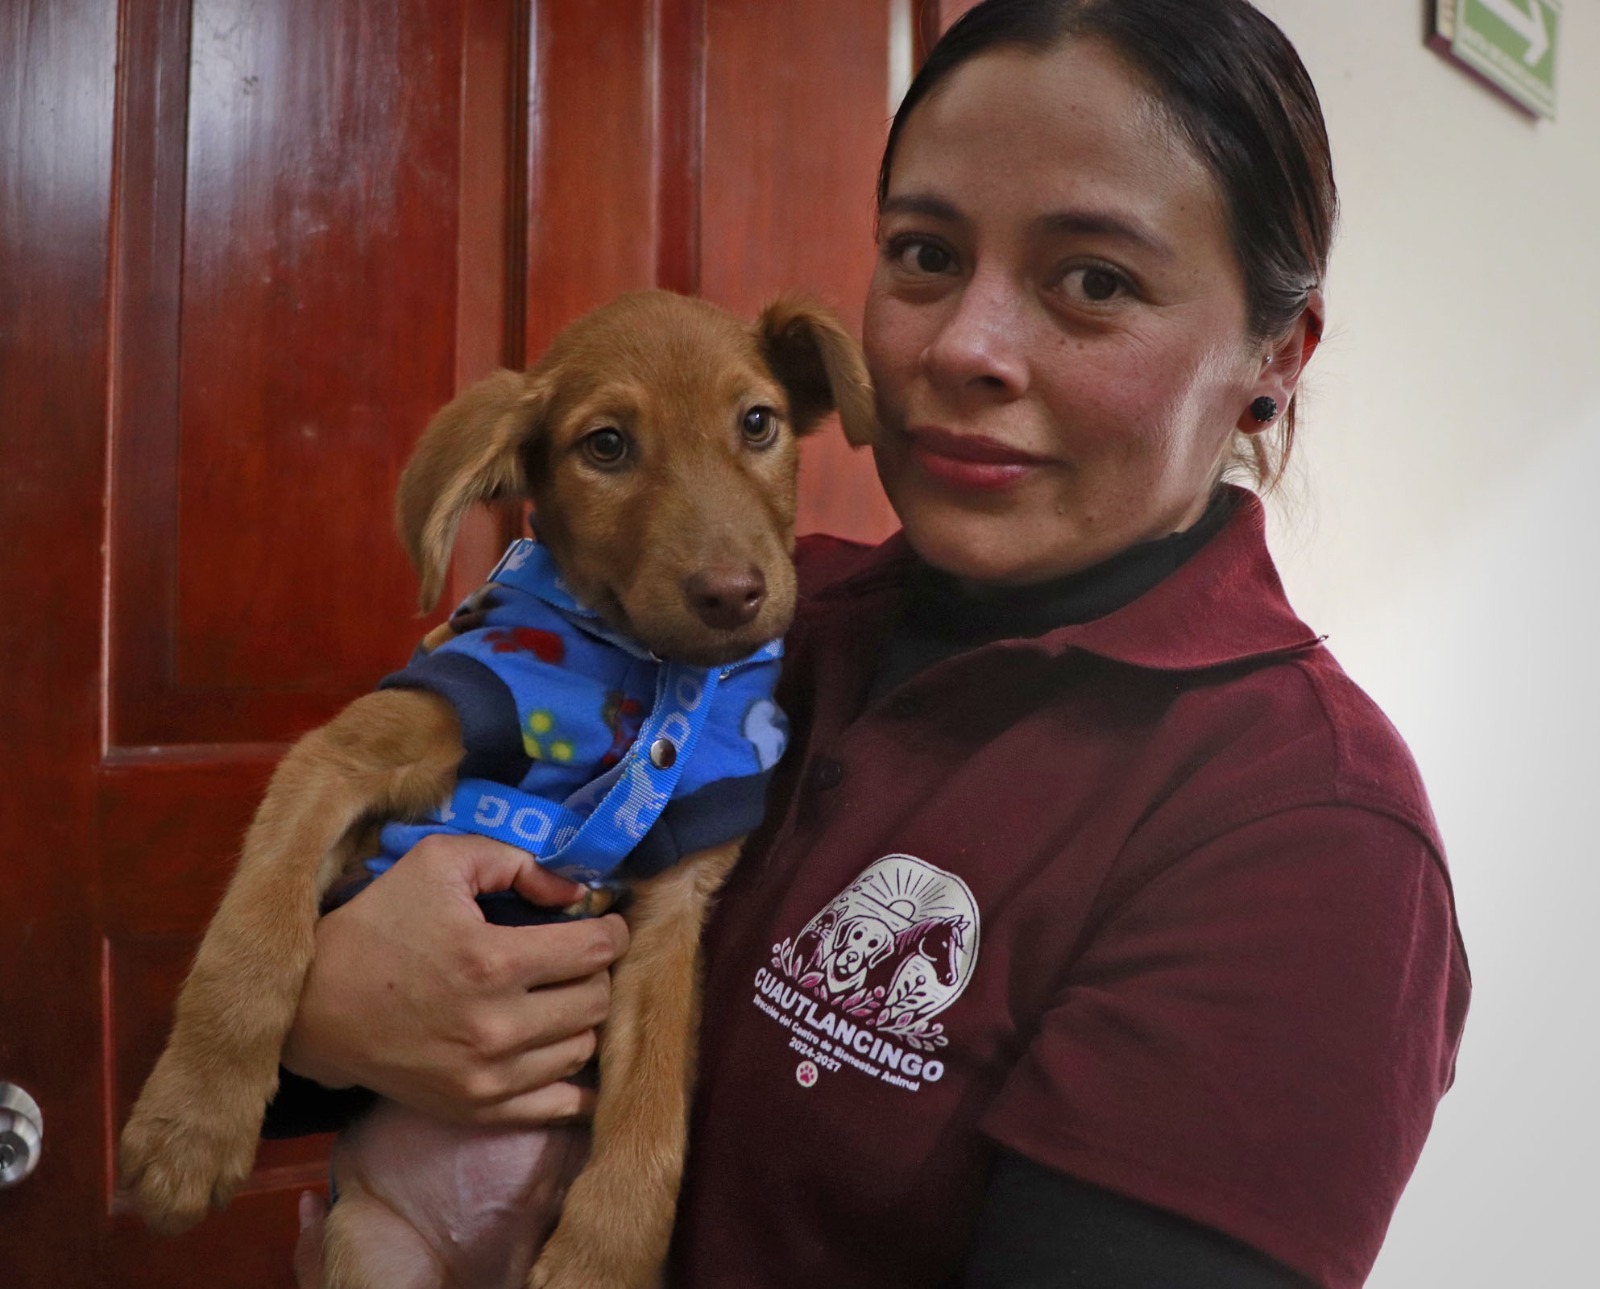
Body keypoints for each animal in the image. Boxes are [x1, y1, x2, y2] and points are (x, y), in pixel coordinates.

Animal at [120, 292, 883, 1289]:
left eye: (758, 422)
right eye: (606, 445)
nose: (731, 594)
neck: (648, 672)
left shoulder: (677, 896)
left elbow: (651, 1103)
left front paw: (607, 1252)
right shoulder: (347, 753)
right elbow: (254, 934)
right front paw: (192, 1122)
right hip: (371, 1247)